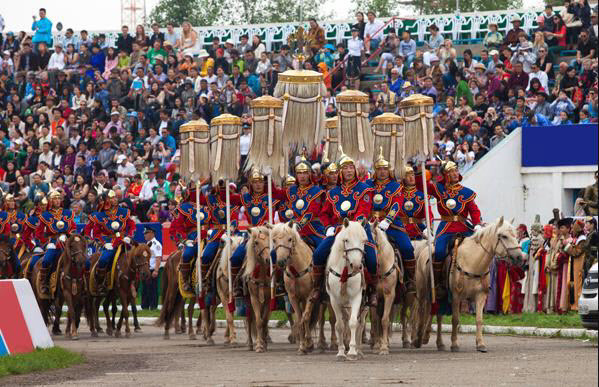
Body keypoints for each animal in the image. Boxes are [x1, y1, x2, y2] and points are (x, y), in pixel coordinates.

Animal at [326, 220, 368, 362]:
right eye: (346, 240)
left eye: (364, 240)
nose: (356, 266)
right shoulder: (334, 300)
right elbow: (339, 325)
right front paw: (341, 352)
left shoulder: (357, 297)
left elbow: (354, 323)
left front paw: (353, 352)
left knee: (361, 323)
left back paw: (359, 350)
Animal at [414, 217, 524, 354]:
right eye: (504, 236)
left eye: (515, 235)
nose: (520, 257)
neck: (472, 262)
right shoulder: (456, 296)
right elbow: (455, 319)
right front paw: (454, 344)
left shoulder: (481, 296)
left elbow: (479, 320)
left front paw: (481, 344)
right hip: (423, 291)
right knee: (422, 311)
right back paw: (418, 339)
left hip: (441, 295)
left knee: (437, 315)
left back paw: (438, 342)